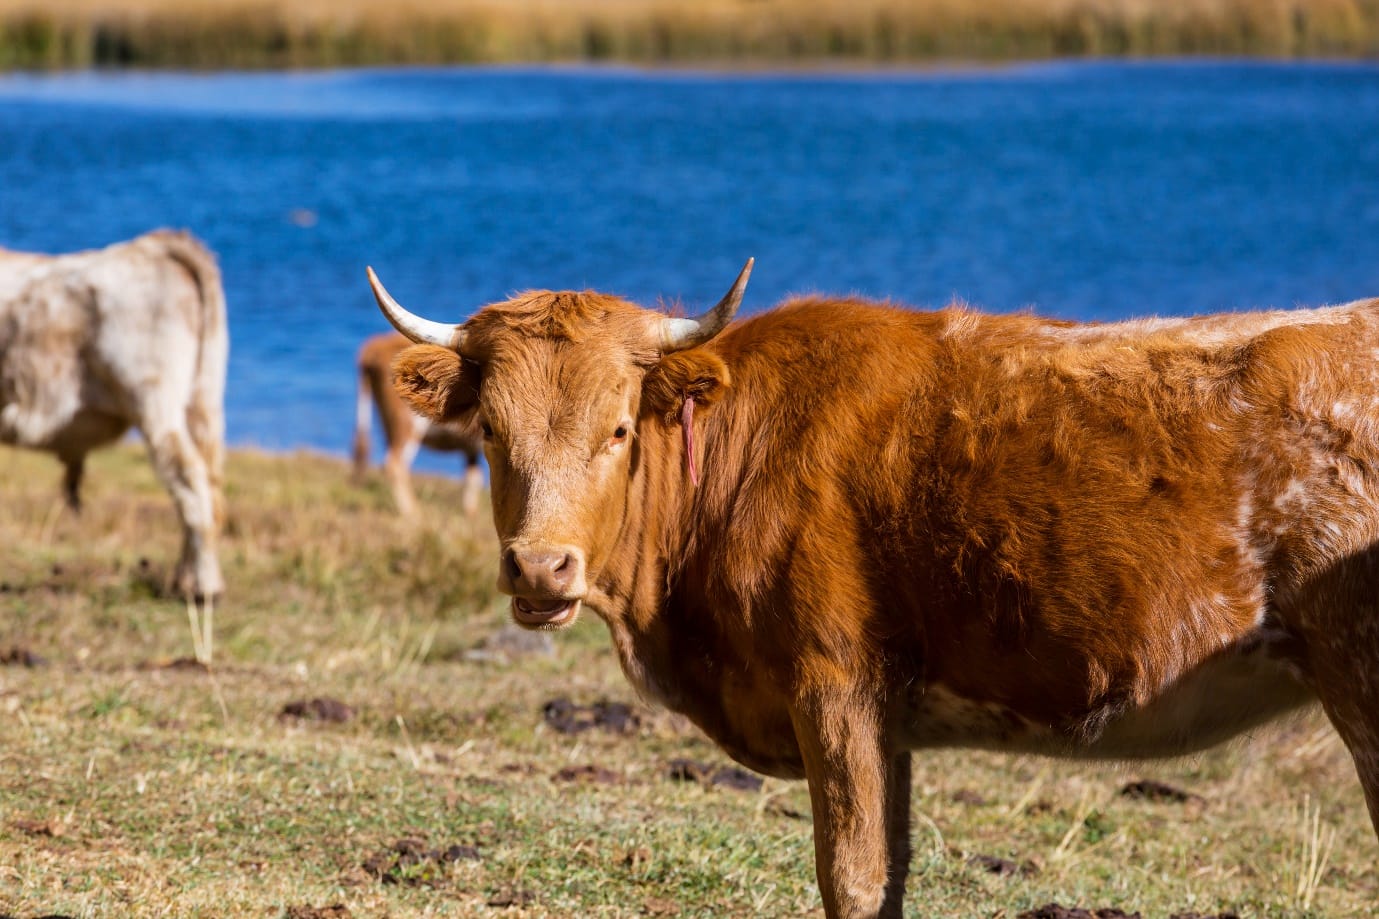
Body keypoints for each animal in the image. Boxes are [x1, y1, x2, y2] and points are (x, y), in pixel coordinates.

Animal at [0, 230, 227, 599]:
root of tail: (155, 244)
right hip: (199, 404)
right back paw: (185, 579)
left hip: (156, 405)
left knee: (191, 483)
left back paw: (203, 588)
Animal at [351, 331, 484, 517]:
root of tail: (375, 343)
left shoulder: (473, 447)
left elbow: (473, 478)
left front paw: (470, 514)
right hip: (406, 423)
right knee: (394, 463)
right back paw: (413, 512)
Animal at [365, 261, 1379, 918]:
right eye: (489, 430)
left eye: (618, 428)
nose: (541, 568)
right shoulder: (888, 717)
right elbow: (887, 871)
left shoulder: (835, 682)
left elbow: (850, 878)